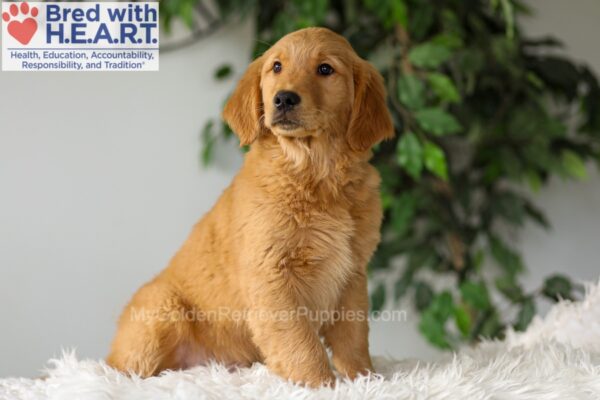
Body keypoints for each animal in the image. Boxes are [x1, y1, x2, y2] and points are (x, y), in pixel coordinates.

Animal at [106, 27, 394, 388]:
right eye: (276, 67)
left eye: (325, 69)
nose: (284, 99)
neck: (316, 174)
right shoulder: (271, 274)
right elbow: (301, 341)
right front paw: (320, 384)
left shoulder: (352, 274)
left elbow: (354, 336)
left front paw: (366, 379)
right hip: (161, 309)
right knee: (116, 367)